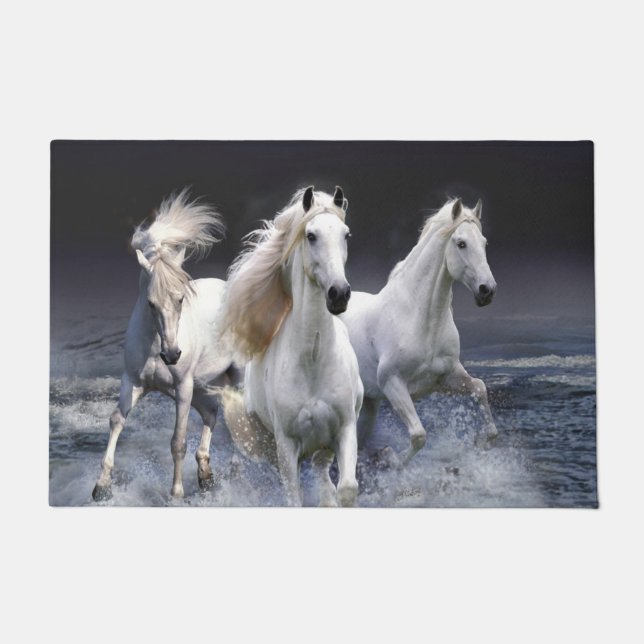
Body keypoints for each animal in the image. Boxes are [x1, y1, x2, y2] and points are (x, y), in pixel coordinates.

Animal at [92, 190, 240, 501]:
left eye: (181, 298)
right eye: (151, 303)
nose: (172, 355)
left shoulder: (182, 388)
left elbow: (178, 441)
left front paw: (176, 494)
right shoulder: (133, 382)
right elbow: (116, 420)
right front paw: (101, 487)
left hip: (233, 378)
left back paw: (233, 470)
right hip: (203, 386)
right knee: (211, 414)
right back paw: (205, 475)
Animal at [219, 186, 364, 507]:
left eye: (347, 234)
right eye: (311, 235)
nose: (339, 294)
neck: (313, 360)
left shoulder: (345, 428)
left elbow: (347, 488)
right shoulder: (286, 445)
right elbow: (293, 497)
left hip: (323, 447)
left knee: (324, 479)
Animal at [340, 197, 498, 465]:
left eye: (485, 242)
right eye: (461, 243)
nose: (487, 290)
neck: (420, 321)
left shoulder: (446, 377)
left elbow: (479, 388)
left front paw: (483, 441)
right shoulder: (393, 384)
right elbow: (418, 435)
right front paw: (391, 458)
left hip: (368, 404)